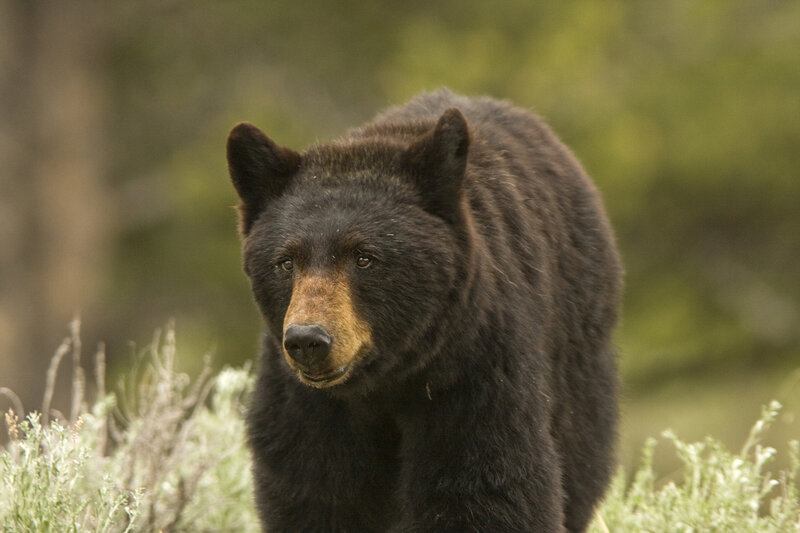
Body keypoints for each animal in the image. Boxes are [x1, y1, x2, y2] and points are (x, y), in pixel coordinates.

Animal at [226, 88, 622, 533]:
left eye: (364, 257)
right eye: (285, 261)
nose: (308, 340)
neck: (386, 380)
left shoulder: (473, 372)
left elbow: (484, 489)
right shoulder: (307, 405)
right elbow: (316, 490)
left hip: (574, 354)